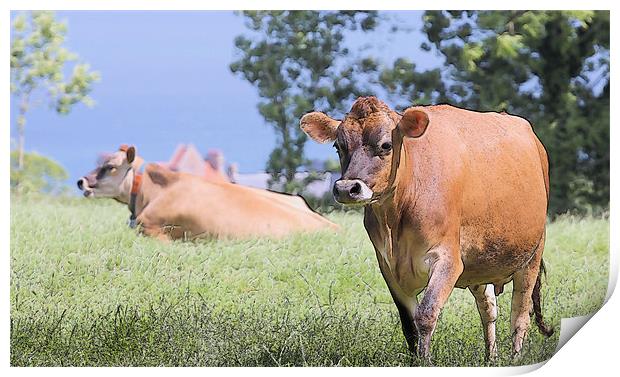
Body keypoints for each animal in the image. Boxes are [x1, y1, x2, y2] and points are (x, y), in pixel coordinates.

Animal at [300, 97, 552, 362]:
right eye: (338, 146)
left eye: (386, 145)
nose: (347, 188)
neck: (395, 221)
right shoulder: (388, 266)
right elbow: (408, 324)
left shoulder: (448, 260)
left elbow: (426, 313)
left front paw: (425, 360)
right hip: (480, 263)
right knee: (488, 310)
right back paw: (490, 358)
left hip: (531, 258)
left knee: (519, 317)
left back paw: (514, 358)